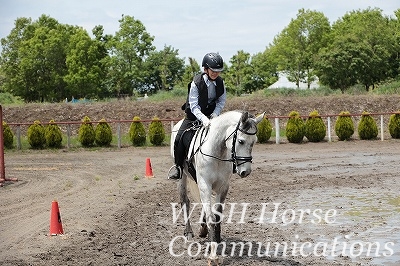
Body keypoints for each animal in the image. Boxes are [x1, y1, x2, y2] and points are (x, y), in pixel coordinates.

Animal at [170, 110, 264, 264]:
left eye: (254, 142)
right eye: (241, 141)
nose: (246, 172)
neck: (217, 152)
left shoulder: (223, 186)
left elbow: (217, 215)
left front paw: (216, 239)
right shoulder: (205, 185)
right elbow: (211, 218)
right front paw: (213, 256)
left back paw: (203, 230)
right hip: (183, 177)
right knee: (185, 201)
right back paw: (189, 232)